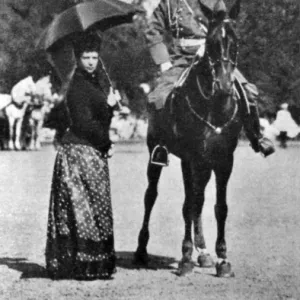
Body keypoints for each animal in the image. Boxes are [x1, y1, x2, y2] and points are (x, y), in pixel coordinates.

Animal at [135, 0, 245, 278]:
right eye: (213, 42)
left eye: (236, 41)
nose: (225, 86)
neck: (214, 106)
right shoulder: (190, 158)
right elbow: (187, 205)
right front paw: (185, 258)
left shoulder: (224, 161)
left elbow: (219, 207)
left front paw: (222, 259)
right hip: (156, 154)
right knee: (151, 196)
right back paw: (141, 251)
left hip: (204, 166)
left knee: (199, 200)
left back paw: (203, 252)